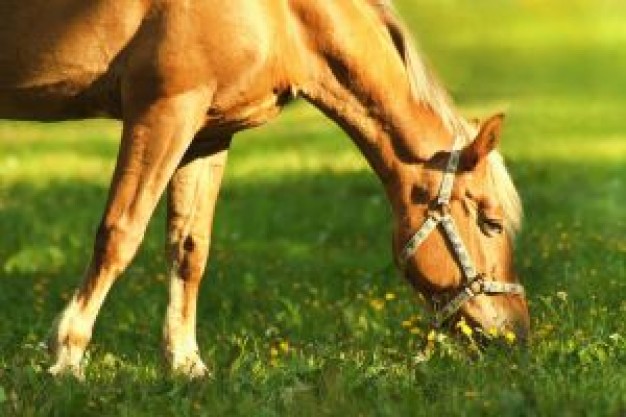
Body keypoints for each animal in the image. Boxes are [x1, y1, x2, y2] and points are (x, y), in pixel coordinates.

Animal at [0, 0, 528, 376]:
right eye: (491, 222)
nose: (516, 332)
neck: (282, 15)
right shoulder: (163, 111)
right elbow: (120, 234)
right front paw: (66, 356)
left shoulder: (208, 132)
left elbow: (190, 248)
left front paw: (186, 364)